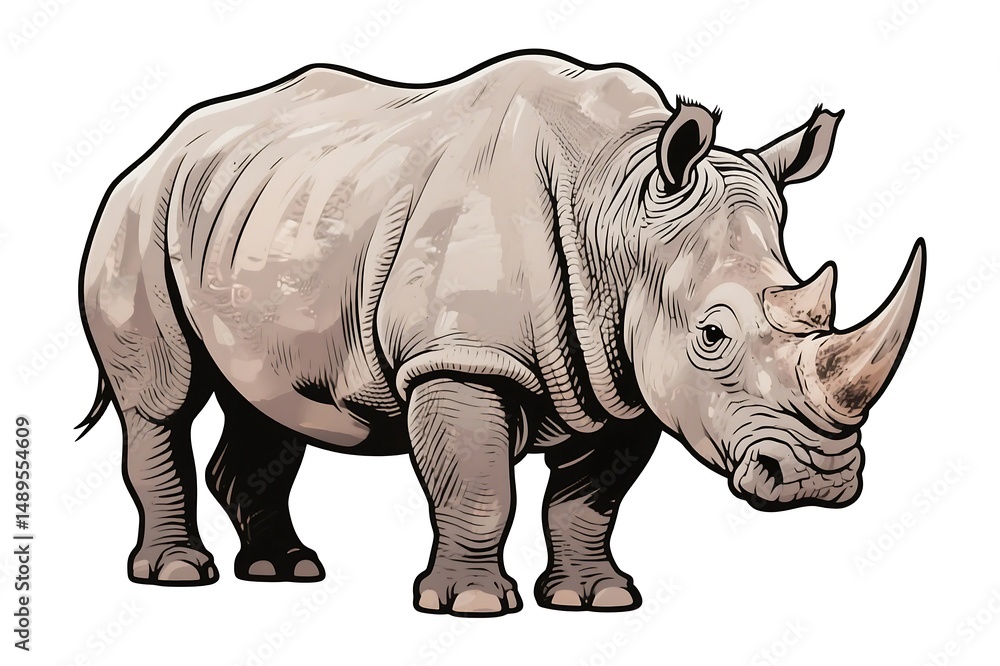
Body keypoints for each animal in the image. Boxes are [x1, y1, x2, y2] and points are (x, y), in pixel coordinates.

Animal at [78, 50, 925, 616]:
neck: (619, 205)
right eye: (713, 335)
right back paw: (179, 575)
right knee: (161, 400)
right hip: (137, 214)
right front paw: (474, 607)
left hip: (262, 215)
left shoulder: (624, 375)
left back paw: (285, 571)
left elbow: (590, 499)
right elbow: (480, 486)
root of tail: (152, 149)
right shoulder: (460, 357)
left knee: (267, 401)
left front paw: (596, 600)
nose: (819, 482)